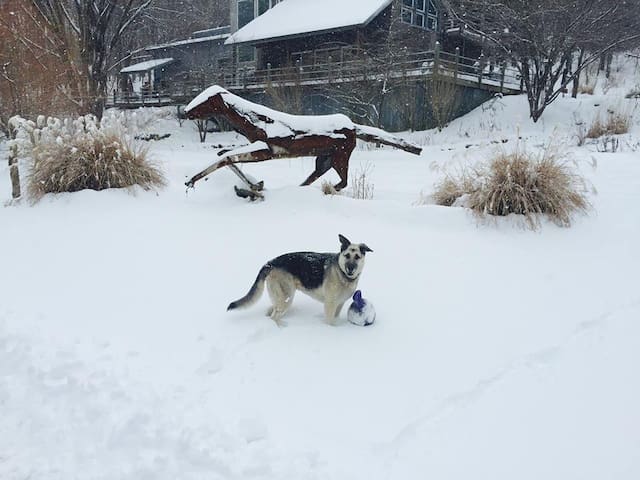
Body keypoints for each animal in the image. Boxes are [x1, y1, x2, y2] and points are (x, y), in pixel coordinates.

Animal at [228, 234, 372, 324]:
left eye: (357, 257)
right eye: (347, 256)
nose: (350, 269)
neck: (342, 274)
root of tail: (270, 263)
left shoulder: (339, 304)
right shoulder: (330, 305)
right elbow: (330, 322)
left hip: (280, 297)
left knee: (272, 311)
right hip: (286, 298)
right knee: (274, 316)